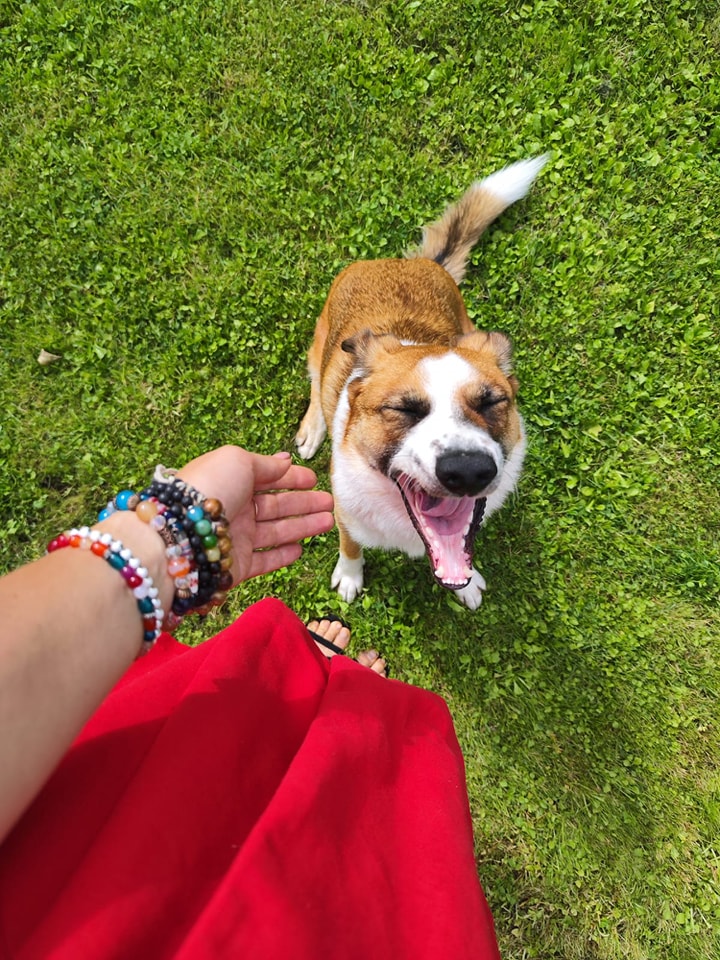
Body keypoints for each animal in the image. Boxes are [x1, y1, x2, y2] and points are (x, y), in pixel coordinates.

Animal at [295, 154, 547, 609]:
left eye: (490, 402)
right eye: (404, 409)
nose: (468, 472)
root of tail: (409, 261)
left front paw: (469, 582)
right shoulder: (344, 512)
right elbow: (350, 546)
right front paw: (349, 576)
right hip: (320, 342)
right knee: (315, 382)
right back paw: (312, 428)